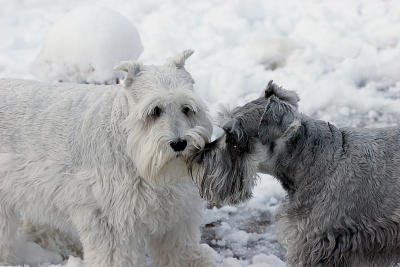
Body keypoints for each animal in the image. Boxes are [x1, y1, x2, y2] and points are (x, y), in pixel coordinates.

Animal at [0, 50, 216, 267]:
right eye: (154, 111)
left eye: (187, 108)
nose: (179, 143)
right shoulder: (112, 226)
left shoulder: (176, 218)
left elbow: (181, 252)